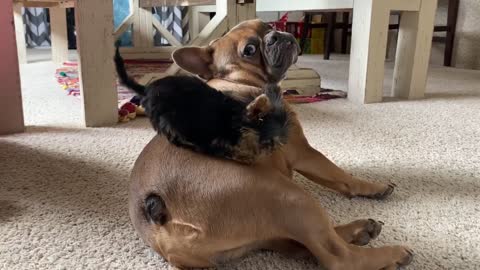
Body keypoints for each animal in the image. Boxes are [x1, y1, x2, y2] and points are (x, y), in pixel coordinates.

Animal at [115, 45, 288, 163]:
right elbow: (232, 150)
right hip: (165, 118)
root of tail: (146, 89)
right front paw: (245, 156)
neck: (237, 120)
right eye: (268, 142)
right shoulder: (221, 140)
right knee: (173, 135)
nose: (272, 150)